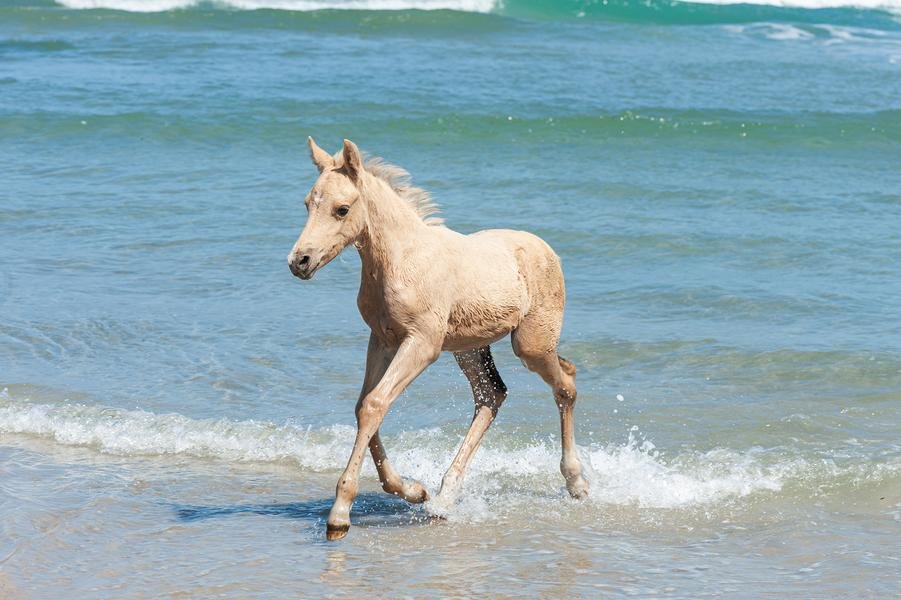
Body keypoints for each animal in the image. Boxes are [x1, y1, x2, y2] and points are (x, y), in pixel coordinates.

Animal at [287, 138, 589, 540]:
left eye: (342, 209)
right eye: (308, 203)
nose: (300, 261)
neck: (399, 260)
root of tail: (548, 249)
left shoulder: (422, 343)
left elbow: (375, 404)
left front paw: (340, 514)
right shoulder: (382, 339)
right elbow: (365, 405)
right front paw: (413, 490)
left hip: (531, 344)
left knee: (565, 383)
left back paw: (576, 481)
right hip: (469, 348)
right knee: (492, 395)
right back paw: (445, 497)